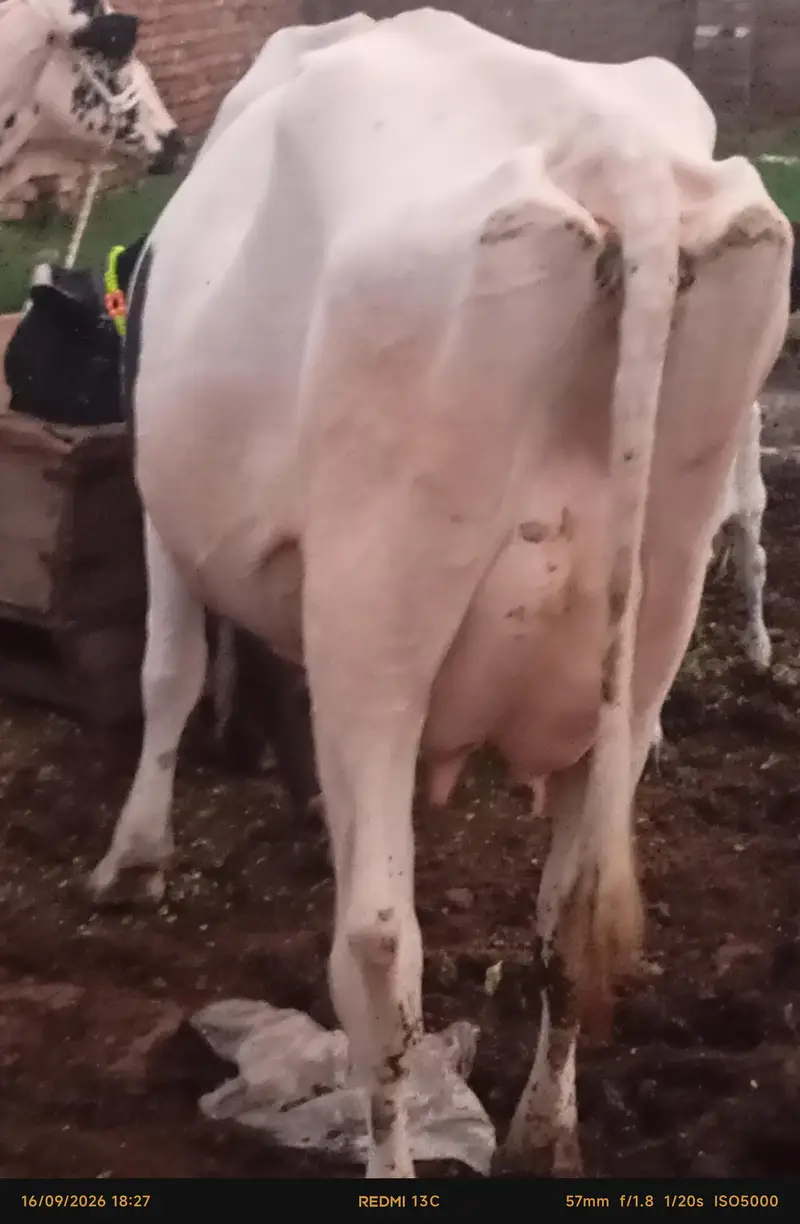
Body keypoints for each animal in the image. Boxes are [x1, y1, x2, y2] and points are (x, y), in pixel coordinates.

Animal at [85, 11, 792, 1179]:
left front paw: (135, 861)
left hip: (377, 616)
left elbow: (167, 672)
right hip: (654, 610)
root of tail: (612, 153)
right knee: (567, 911)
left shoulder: (161, 508)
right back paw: (543, 1136)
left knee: (379, 944)